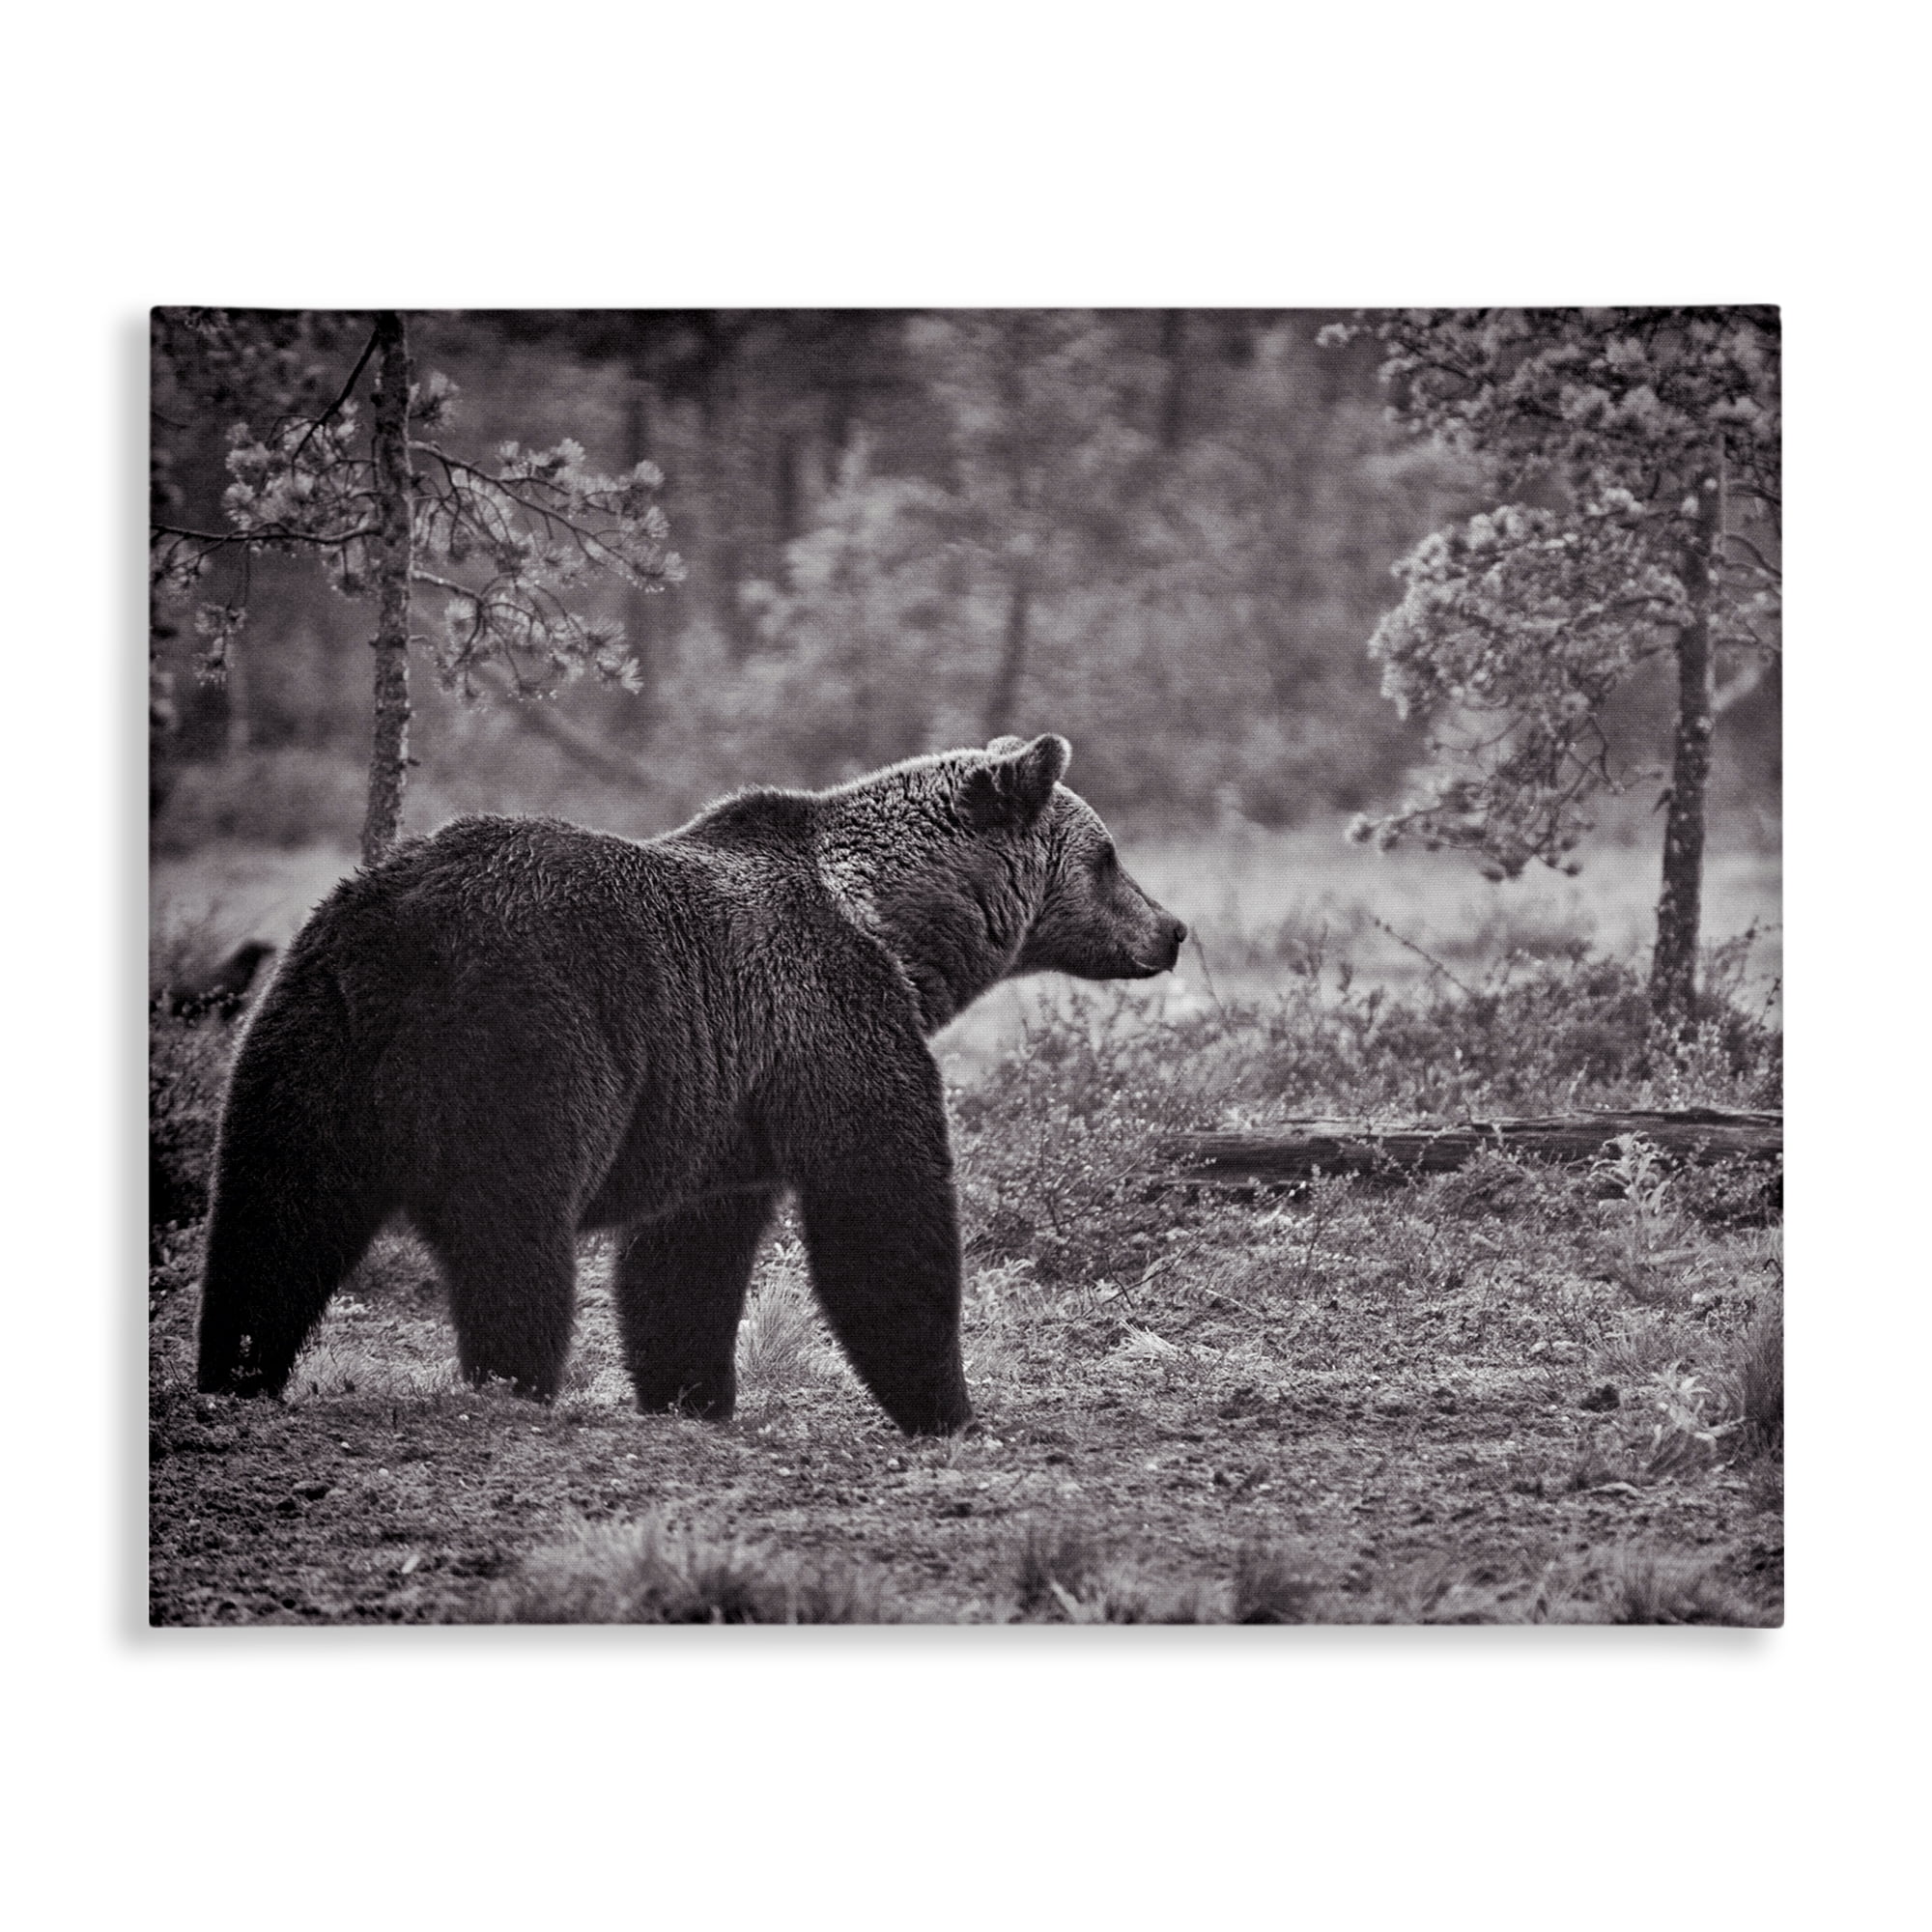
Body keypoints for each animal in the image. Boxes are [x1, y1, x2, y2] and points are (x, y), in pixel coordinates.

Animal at [195, 733, 1186, 1435]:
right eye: (1107, 856)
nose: (1172, 929)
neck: (895, 929)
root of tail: (396, 931)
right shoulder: (830, 1021)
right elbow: (881, 1208)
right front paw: (946, 1406)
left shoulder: (723, 1096)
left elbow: (686, 1256)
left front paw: (690, 1392)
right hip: (526, 1038)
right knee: (512, 1230)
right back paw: (514, 1381)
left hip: (306, 1037)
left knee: (272, 1217)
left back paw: (237, 1372)